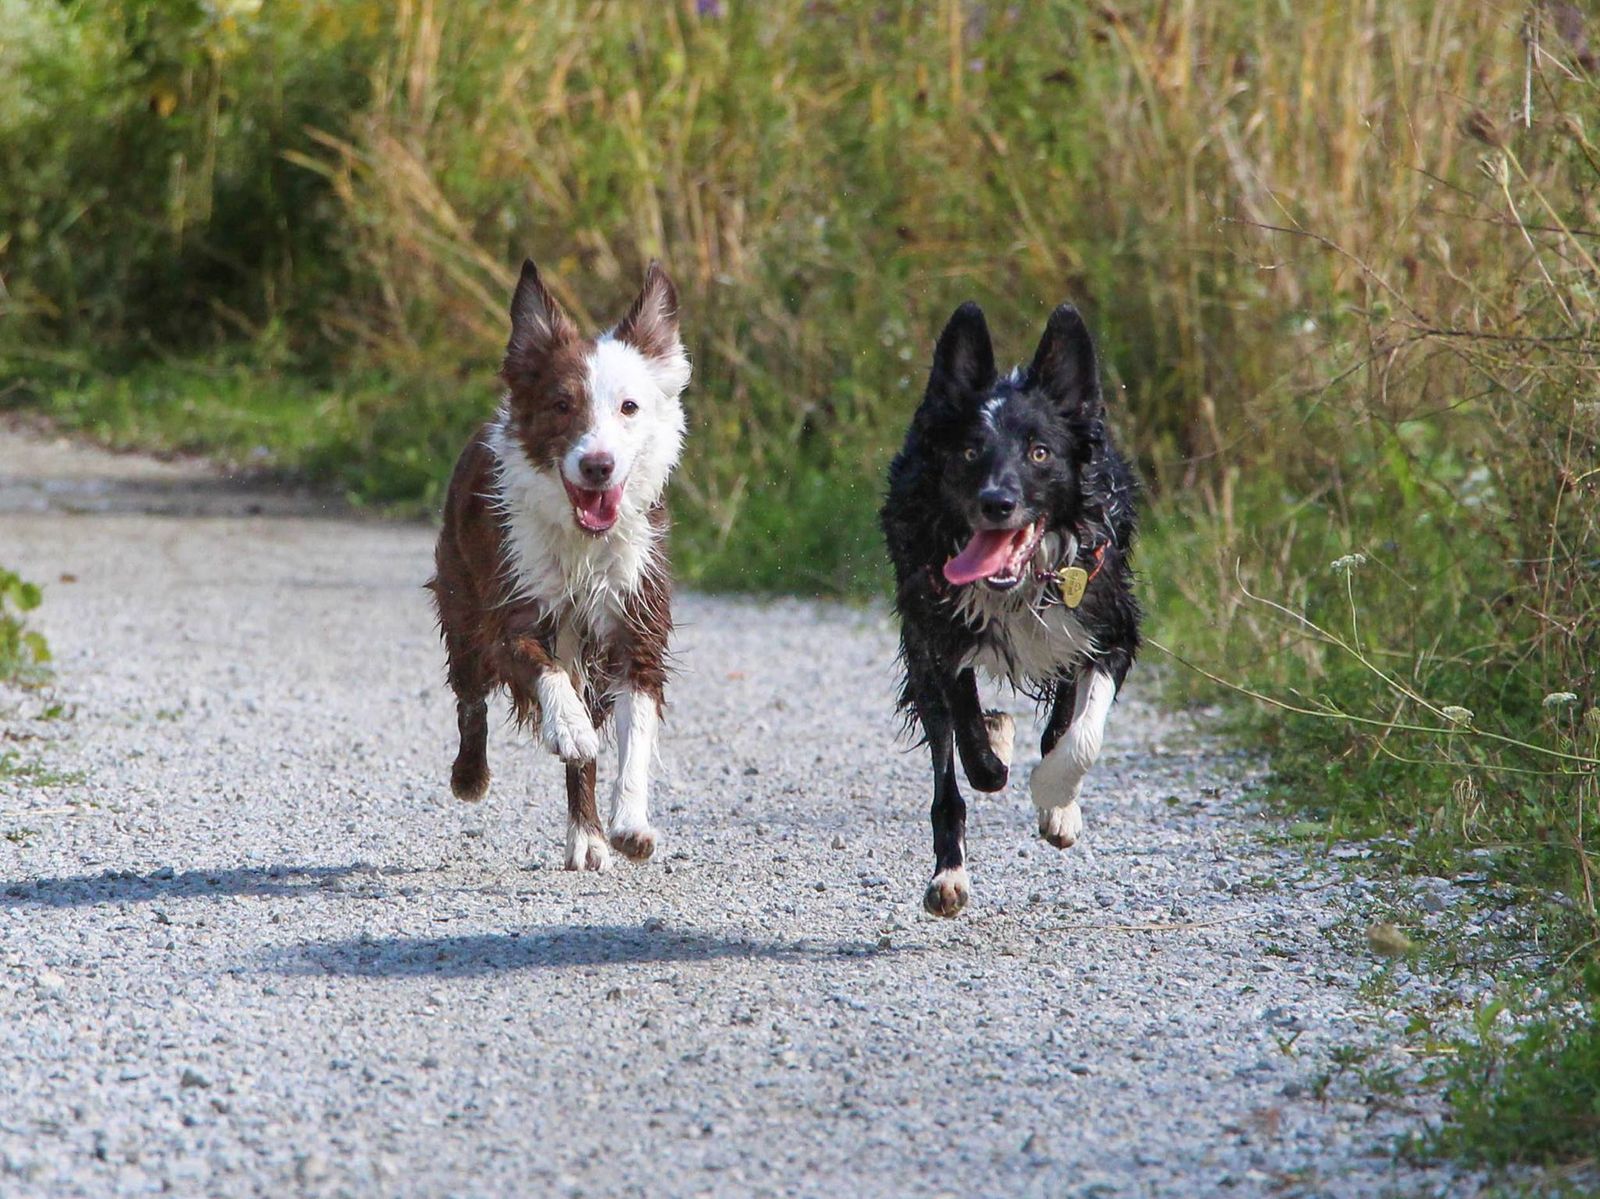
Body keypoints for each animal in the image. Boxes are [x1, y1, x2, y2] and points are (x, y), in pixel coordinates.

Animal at [428, 258, 690, 871]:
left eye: (629, 407)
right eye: (561, 405)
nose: (598, 465)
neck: (582, 544)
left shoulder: (635, 625)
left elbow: (635, 735)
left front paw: (631, 826)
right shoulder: (511, 611)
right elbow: (540, 672)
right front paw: (567, 726)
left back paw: (588, 838)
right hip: (460, 597)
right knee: (470, 697)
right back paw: (470, 776)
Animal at [881, 300, 1140, 917]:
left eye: (1039, 452)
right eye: (970, 451)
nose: (996, 502)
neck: (1019, 584)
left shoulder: (1110, 629)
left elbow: (1079, 736)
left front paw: (1055, 798)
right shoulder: (938, 641)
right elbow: (972, 751)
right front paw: (995, 747)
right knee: (952, 766)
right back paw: (950, 873)